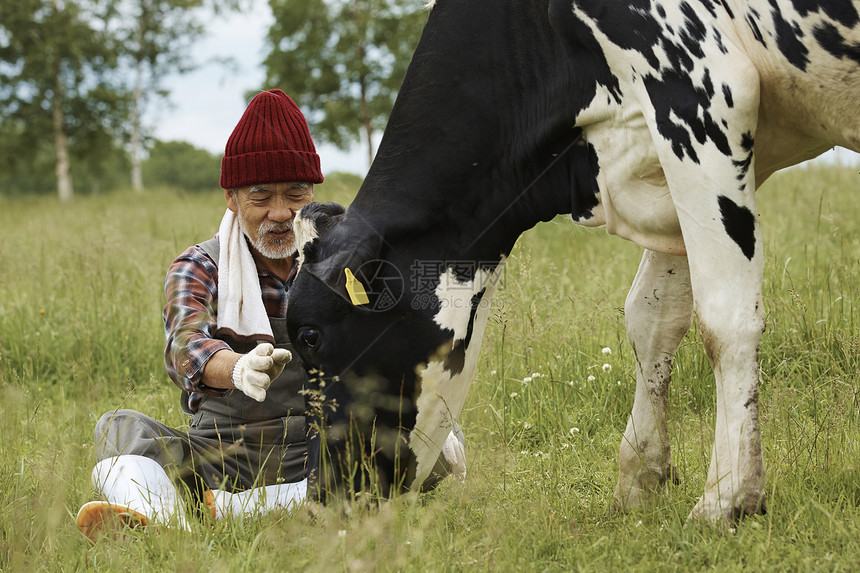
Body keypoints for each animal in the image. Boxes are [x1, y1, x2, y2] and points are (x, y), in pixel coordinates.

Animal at [288, 0, 860, 520]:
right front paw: (641, 478)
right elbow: (652, 317)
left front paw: (728, 498)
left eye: (310, 336)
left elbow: (724, 318)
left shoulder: (700, 91)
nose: (321, 499)